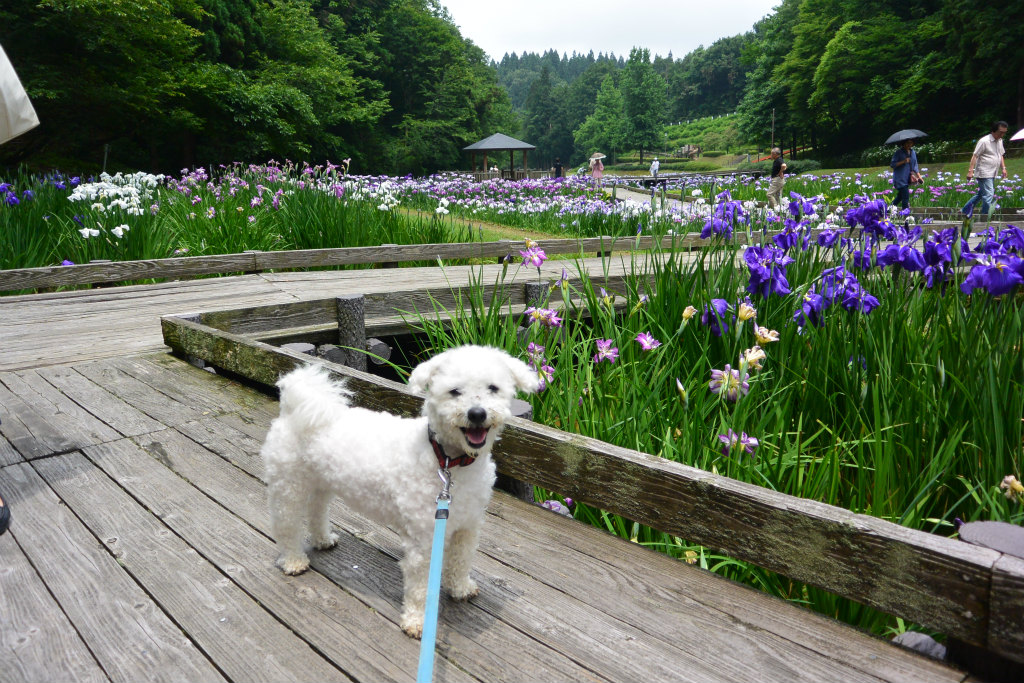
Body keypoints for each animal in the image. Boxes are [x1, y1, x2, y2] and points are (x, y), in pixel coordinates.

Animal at [261, 345, 539, 637]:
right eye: (454, 391)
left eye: (493, 388)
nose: (477, 413)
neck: (449, 460)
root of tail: (292, 408)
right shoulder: (423, 539)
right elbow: (420, 587)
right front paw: (417, 622)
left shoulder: (468, 526)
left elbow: (461, 561)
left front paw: (461, 588)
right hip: (288, 486)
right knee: (286, 526)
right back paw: (293, 561)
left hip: (321, 483)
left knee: (317, 511)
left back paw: (323, 539)